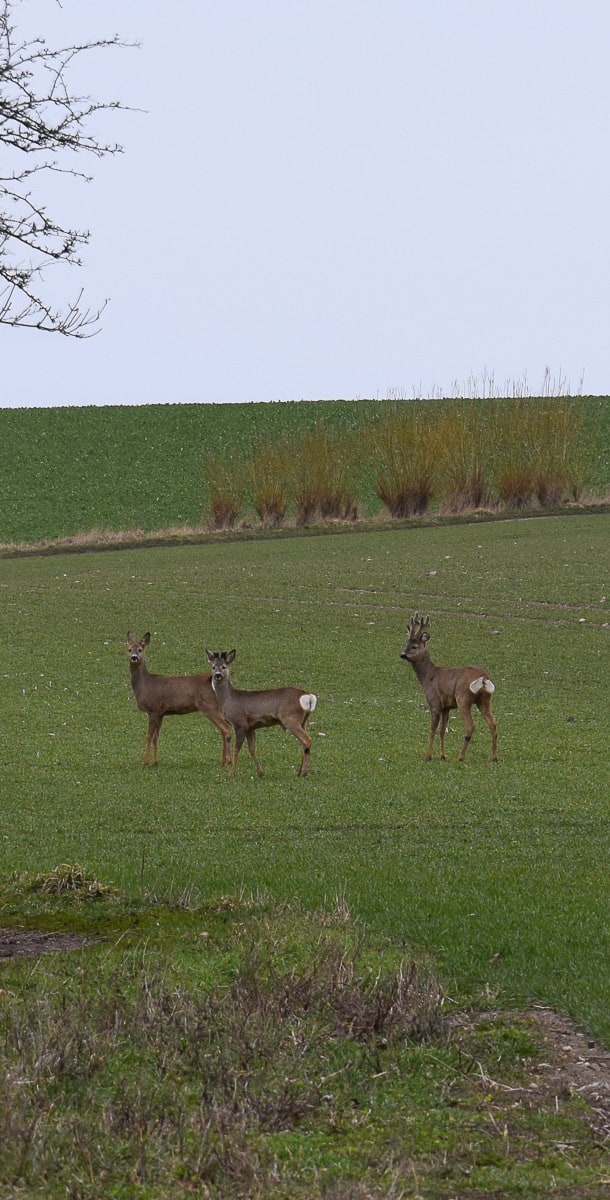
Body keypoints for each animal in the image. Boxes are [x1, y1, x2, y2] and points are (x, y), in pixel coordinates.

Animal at [127, 628, 231, 768]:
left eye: (140, 649)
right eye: (129, 649)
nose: (134, 657)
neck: (144, 685)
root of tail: (213, 680)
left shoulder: (153, 709)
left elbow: (148, 736)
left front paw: (144, 762)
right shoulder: (161, 712)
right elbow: (156, 736)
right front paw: (155, 761)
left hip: (209, 705)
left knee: (226, 727)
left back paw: (228, 761)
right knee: (224, 728)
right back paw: (223, 760)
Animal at [206, 648, 317, 777]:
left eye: (224, 666)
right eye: (213, 667)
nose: (217, 675)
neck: (229, 699)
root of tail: (308, 696)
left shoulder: (240, 723)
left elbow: (237, 750)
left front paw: (231, 774)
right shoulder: (250, 727)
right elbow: (252, 749)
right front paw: (260, 772)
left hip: (291, 719)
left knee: (307, 740)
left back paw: (303, 773)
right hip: (303, 721)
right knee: (306, 741)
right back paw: (300, 771)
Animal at [403, 614, 497, 763]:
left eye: (414, 646)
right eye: (406, 645)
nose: (402, 654)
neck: (428, 676)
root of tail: (483, 678)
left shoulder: (434, 702)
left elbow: (432, 730)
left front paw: (428, 756)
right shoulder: (446, 707)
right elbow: (442, 731)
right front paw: (442, 756)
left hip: (463, 698)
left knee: (470, 726)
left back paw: (461, 756)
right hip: (485, 699)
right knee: (493, 724)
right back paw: (494, 757)